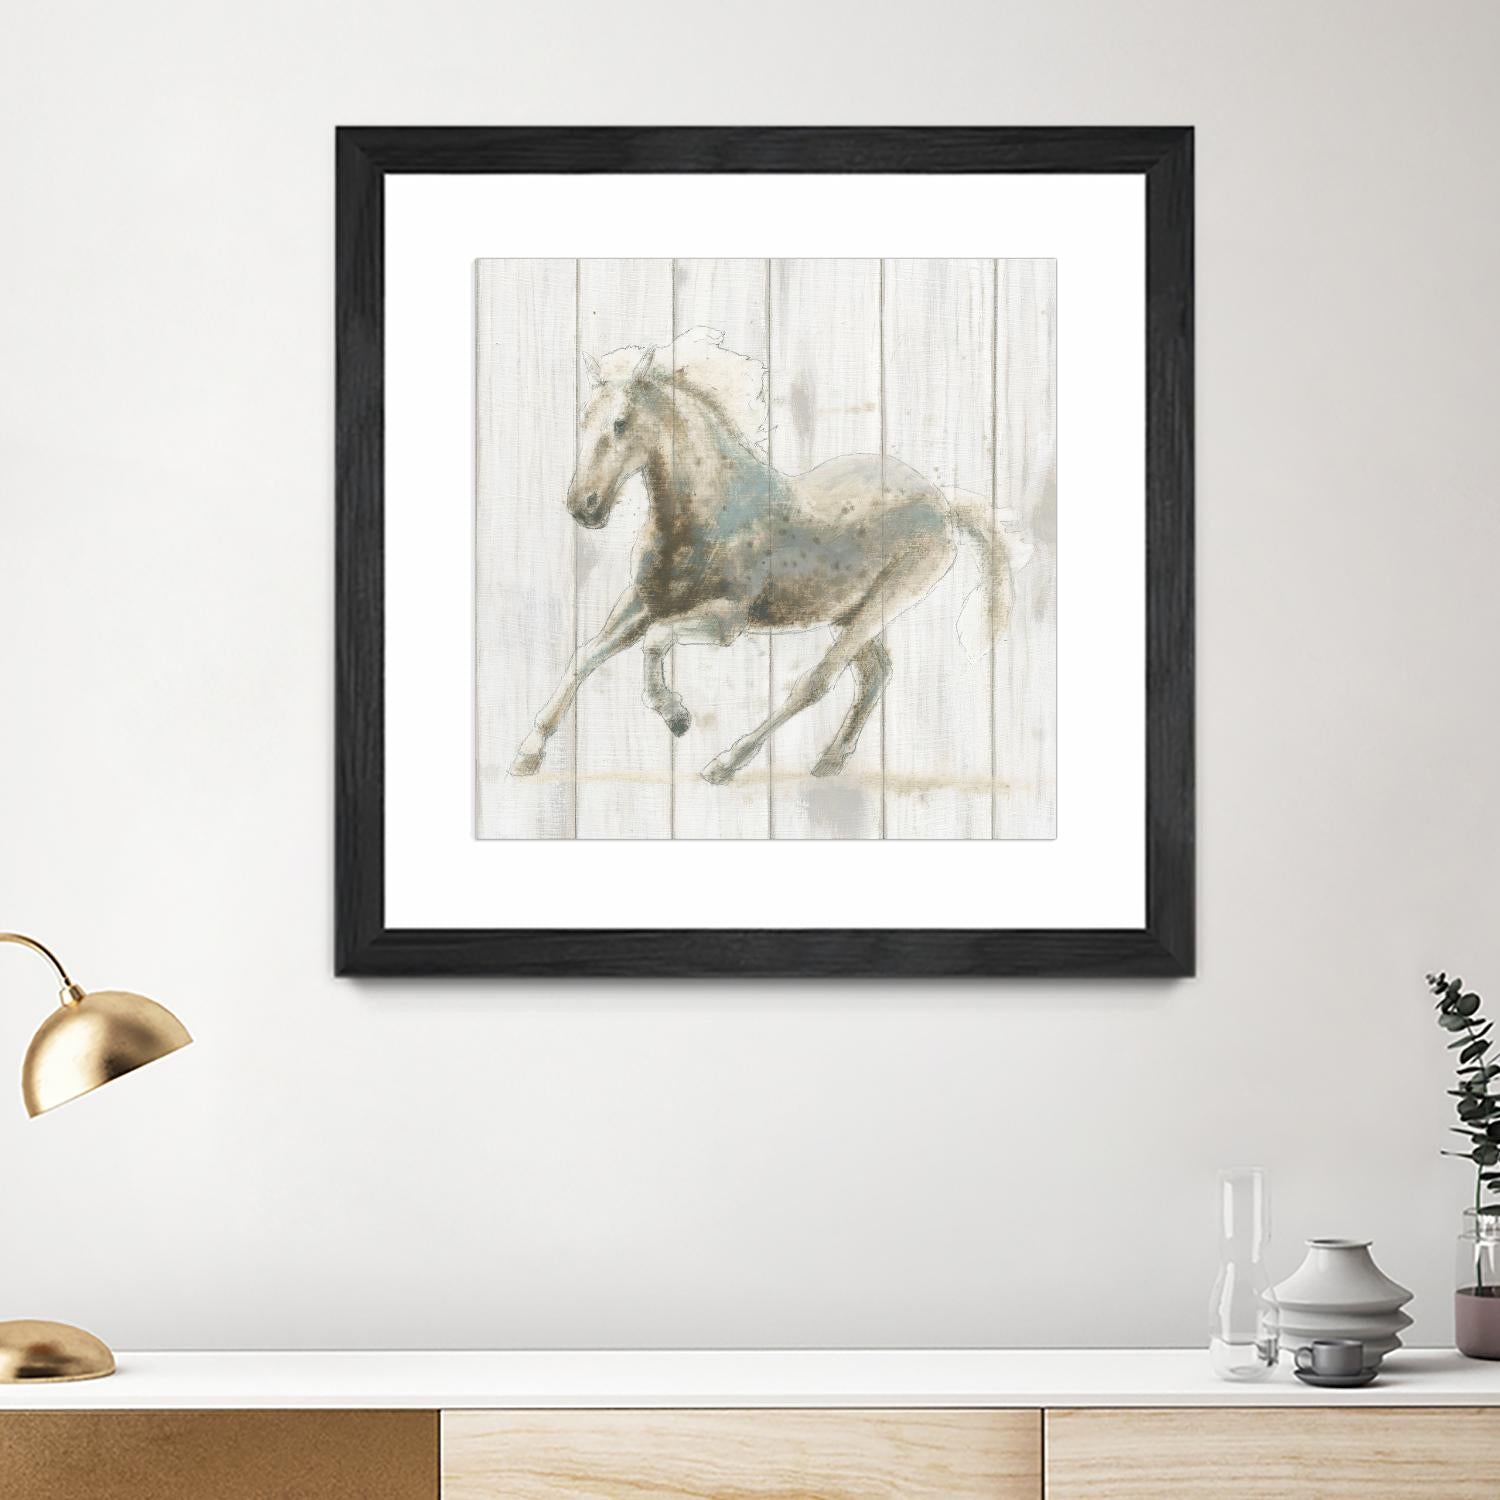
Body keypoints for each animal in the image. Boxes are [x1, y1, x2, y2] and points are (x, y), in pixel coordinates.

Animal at [509, 328, 1012, 786]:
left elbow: (655, 640)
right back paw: (829, 762)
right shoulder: (642, 601)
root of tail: (944, 503)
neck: (708, 514)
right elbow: (585, 657)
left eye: (620, 422)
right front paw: (528, 754)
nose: (584, 507)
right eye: (583, 419)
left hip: (883, 604)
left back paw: (727, 763)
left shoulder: (726, 621)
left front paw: (677, 716)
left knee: (815, 683)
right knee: (874, 675)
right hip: (848, 612)